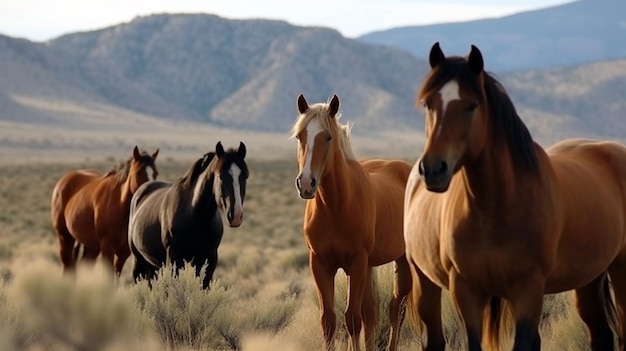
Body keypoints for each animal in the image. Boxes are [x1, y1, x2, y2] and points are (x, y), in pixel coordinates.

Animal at [50, 145, 160, 276]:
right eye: (139, 172)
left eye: (156, 173)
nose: (151, 191)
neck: (120, 207)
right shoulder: (107, 249)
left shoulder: (123, 253)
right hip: (65, 237)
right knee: (67, 266)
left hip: (92, 247)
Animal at [128, 142, 247, 290]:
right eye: (220, 176)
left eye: (245, 176)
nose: (236, 215)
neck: (196, 217)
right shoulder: (174, 258)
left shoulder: (208, 259)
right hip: (138, 260)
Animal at [290, 94, 412, 351]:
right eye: (299, 136)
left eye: (328, 137)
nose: (305, 184)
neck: (336, 207)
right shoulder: (320, 264)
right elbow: (329, 320)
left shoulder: (356, 263)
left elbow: (353, 319)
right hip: (369, 266)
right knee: (373, 311)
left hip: (402, 261)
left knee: (396, 309)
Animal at [402, 42, 626, 350]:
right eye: (428, 104)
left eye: (471, 105)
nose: (434, 169)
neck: (495, 207)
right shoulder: (467, 292)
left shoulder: (528, 290)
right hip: (425, 281)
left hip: (616, 268)